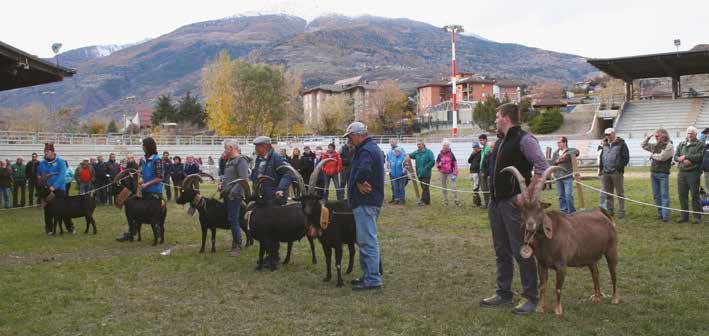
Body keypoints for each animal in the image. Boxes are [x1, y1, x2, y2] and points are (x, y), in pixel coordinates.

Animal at [500, 165, 616, 318]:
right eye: (523, 209)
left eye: (539, 209)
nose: (530, 225)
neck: (548, 238)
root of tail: (604, 215)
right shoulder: (541, 264)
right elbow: (542, 285)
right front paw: (540, 308)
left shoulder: (561, 265)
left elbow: (558, 287)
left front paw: (558, 310)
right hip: (590, 256)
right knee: (595, 273)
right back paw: (597, 298)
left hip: (612, 249)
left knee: (613, 272)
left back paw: (615, 299)